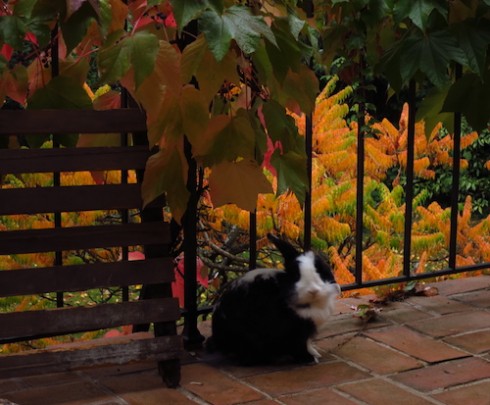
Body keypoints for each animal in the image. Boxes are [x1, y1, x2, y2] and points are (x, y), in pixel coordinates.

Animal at [207, 232, 340, 364]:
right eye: (296, 275)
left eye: (320, 270)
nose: (313, 290)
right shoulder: (294, 331)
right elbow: (298, 346)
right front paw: (309, 359)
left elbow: (308, 343)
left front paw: (315, 353)